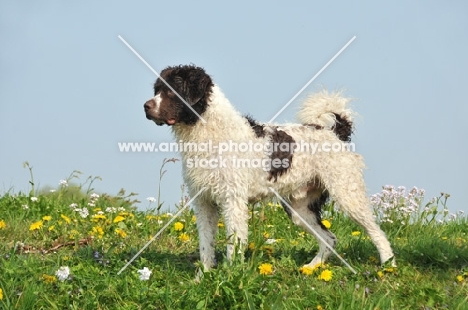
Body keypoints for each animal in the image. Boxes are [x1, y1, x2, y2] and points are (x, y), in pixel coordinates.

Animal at [144, 65, 394, 272]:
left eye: (171, 91)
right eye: (157, 89)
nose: (146, 106)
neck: (209, 131)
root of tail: (333, 132)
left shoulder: (233, 201)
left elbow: (234, 243)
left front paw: (230, 274)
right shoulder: (204, 201)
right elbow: (206, 244)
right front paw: (203, 277)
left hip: (347, 194)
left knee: (376, 231)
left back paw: (388, 265)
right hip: (300, 209)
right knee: (329, 239)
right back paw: (311, 268)